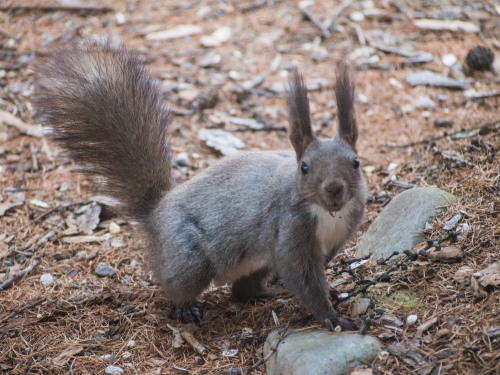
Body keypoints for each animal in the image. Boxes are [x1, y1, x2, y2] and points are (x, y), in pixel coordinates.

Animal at [32, 41, 368, 332]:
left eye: (356, 162)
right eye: (305, 167)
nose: (334, 189)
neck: (328, 214)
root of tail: (155, 213)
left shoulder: (338, 235)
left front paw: (331, 294)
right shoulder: (290, 228)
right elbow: (302, 277)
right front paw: (331, 317)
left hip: (257, 259)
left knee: (242, 289)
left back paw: (267, 292)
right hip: (189, 256)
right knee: (178, 286)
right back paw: (186, 309)